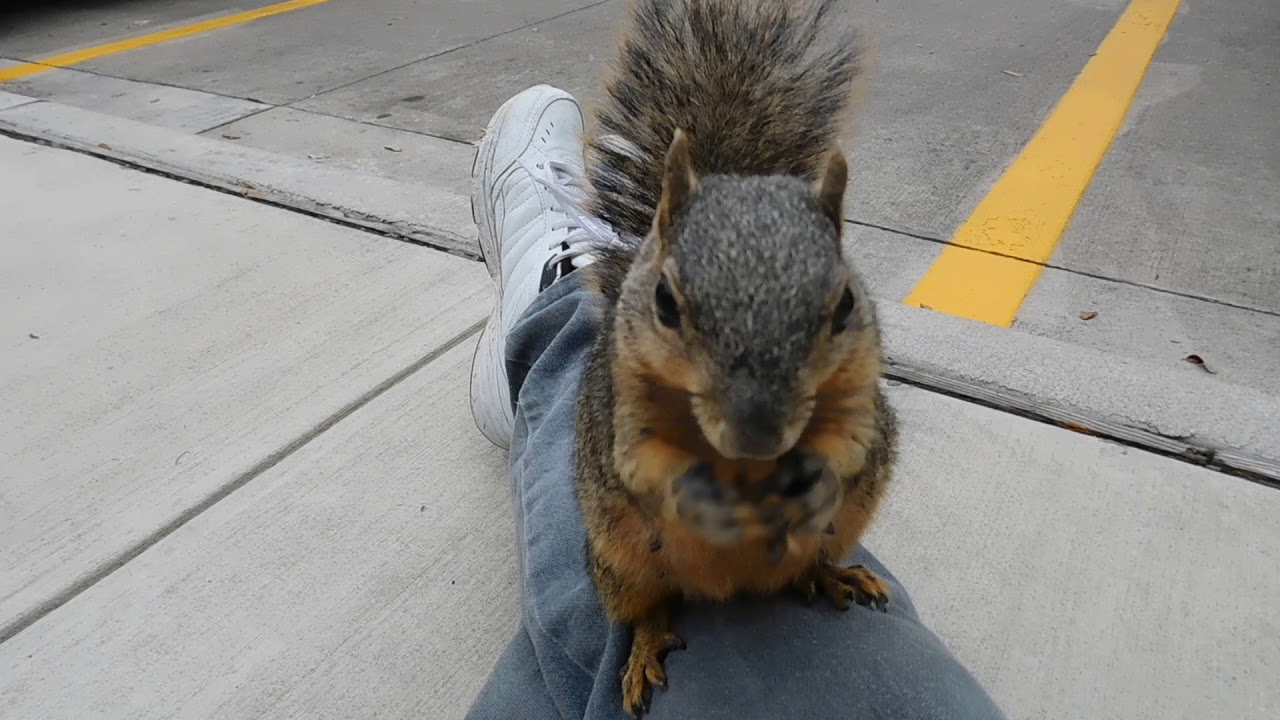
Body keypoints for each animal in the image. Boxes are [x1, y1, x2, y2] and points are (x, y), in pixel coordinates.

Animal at [570, 0, 898, 715]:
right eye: (665, 302)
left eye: (845, 302)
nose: (759, 432)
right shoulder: (621, 408)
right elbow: (645, 464)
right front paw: (698, 496)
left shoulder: (861, 391)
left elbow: (849, 445)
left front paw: (811, 480)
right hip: (617, 560)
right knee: (646, 605)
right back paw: (643, 648)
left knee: (809, 561)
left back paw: (831, 575)